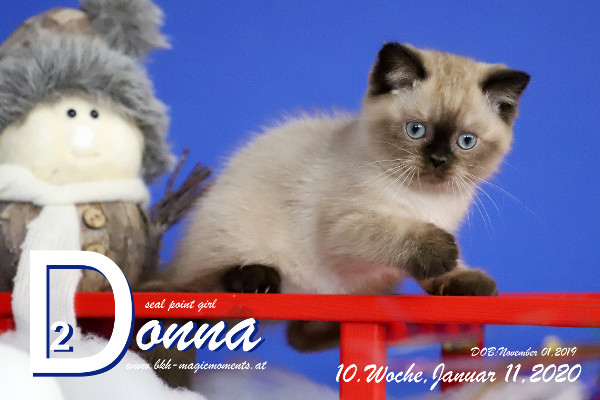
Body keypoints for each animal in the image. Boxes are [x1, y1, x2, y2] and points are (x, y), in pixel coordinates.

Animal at [161, 42, 529, 350]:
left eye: (466, 141)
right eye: (416, 130)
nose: (438, 160)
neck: (427, 200)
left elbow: (447, 270)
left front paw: (469, 281)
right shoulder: (345, 228)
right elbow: (401, 235)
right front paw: (442, 252)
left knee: (299, 337)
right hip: (231, 239)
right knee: (208, 282)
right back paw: (257, 278)